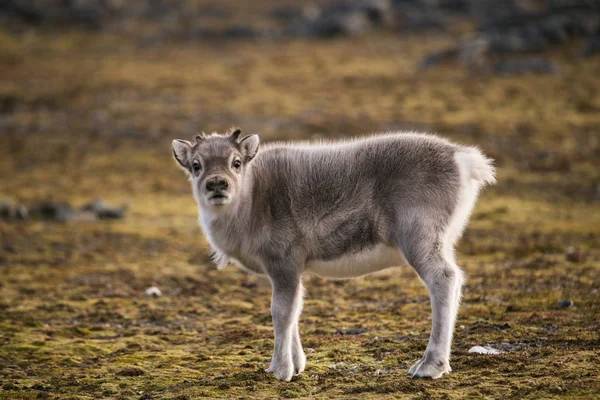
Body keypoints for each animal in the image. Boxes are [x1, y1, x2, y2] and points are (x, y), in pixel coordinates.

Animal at [171, 129, 494, 382]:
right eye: (196, 165)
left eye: (236, 163)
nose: (217, 184)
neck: (251, 201)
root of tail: (464, 160)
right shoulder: (295, 269)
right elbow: (296, 310)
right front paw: (298, 364)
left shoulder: (283, 262)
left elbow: (281, 312)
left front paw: (279, 369)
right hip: (441, 240)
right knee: (456, 279)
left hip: (419, 236)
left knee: (444, 280)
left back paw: (429, 365)